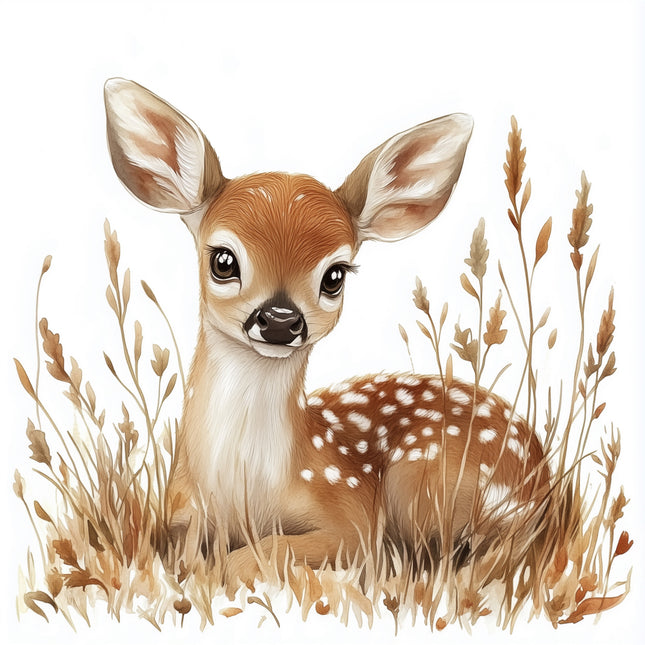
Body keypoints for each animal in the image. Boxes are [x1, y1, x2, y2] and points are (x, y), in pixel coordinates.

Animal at [104, 79, 551, 593]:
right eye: (223, 260)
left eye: (334, 275)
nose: (280, 320)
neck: (242, 492)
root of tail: (546, 477)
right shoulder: (177, 516)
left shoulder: (353, 518)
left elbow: (252, 558)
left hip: (421, 478)